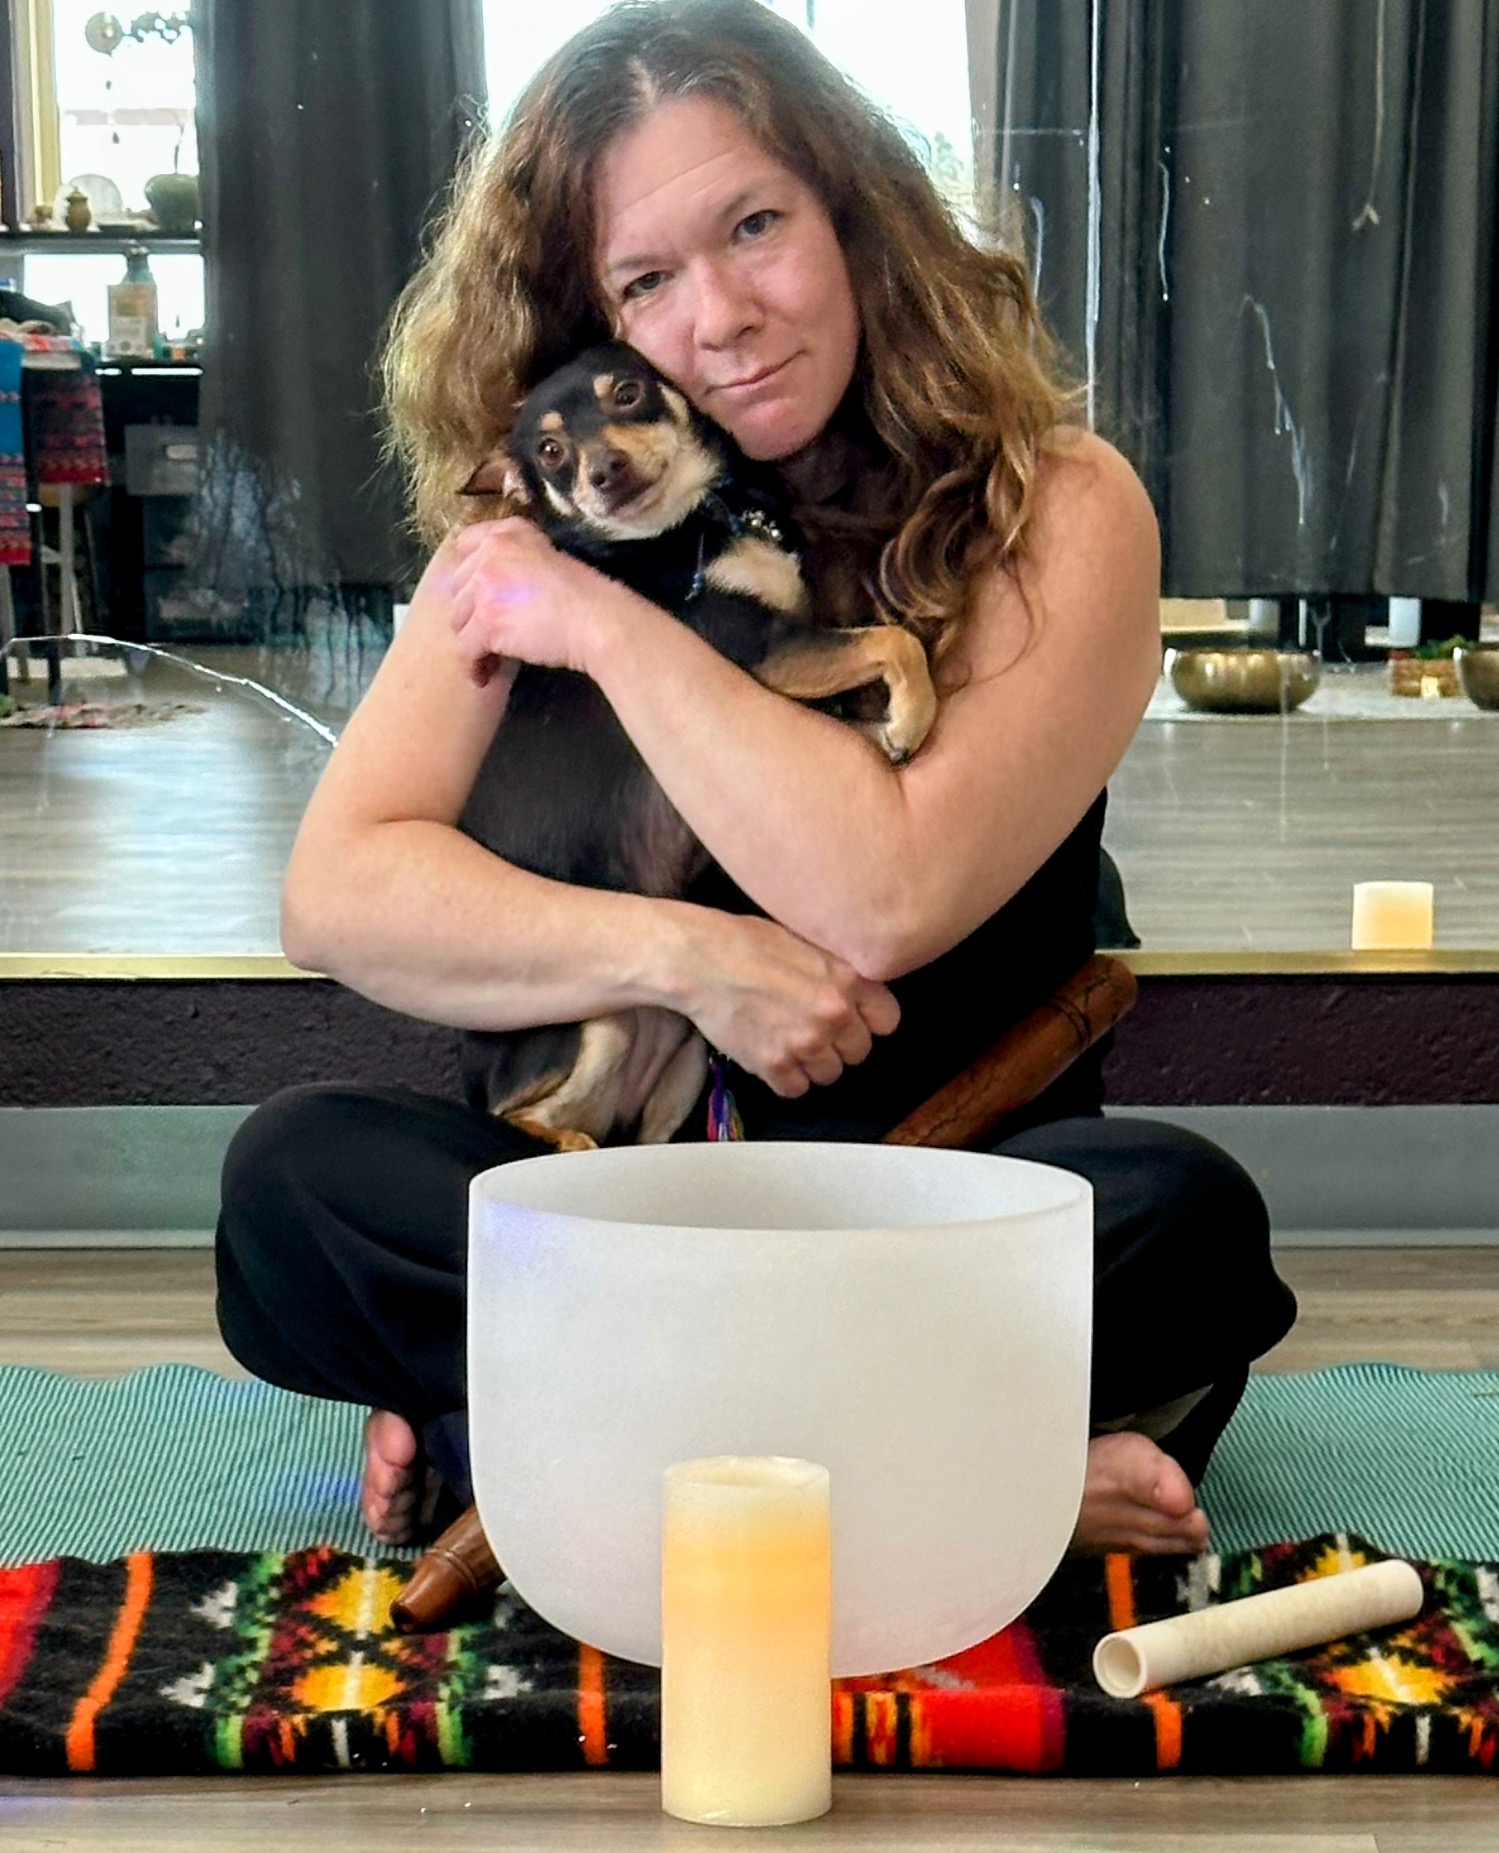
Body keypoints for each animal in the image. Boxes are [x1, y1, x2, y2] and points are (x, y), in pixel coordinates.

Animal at [455, 341, 938, 1150]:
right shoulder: (762, 650)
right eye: (550, 452)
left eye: (626, 394)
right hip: (590, 1029)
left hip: (685, 1053)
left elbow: (864, 668)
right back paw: (567, 1141)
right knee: (513, 1117)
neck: (690, 523)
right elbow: (891, 640)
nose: (603, 469)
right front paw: (909, 720)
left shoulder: (785, 656)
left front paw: (880, 726)